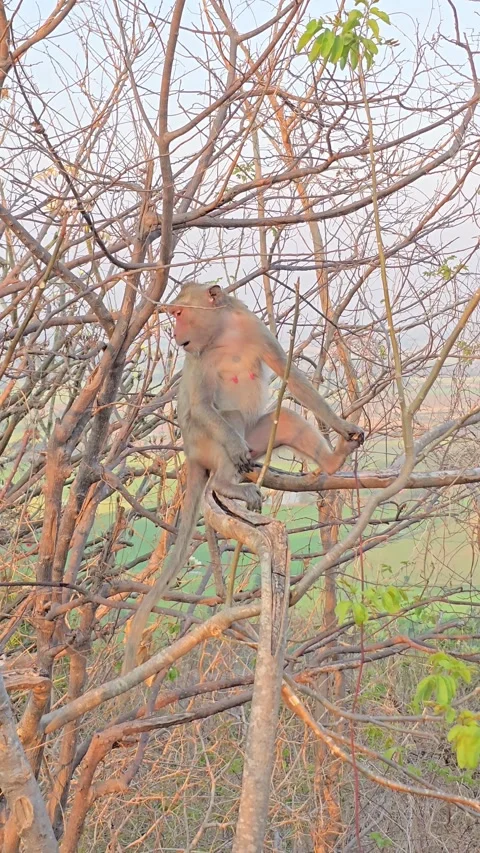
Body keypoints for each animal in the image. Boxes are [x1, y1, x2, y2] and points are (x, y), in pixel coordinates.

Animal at [122, 283, 364, 673]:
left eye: (178, 313)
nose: (175, 334)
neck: (223, 333)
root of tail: (191, 455)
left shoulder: (252, 327)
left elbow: (291, 375)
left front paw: (342, 425)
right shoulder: (198, 359)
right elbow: (201, 404)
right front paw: (231, 452)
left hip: (256, 439)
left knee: (286, 420)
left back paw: (331, 461)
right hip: (203, 441)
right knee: (229, 419)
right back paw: (227, 482)